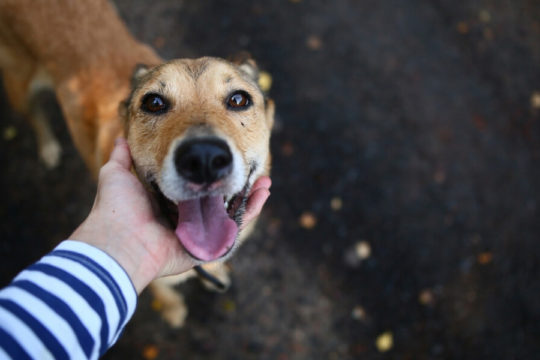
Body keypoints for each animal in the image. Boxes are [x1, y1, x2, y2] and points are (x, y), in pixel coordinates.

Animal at [1, 0, 274, 326]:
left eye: (238, 99)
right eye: (153, 103)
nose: (204, 159)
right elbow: (163, 293)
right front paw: (173, 310)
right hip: (18, 85)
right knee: (34, 115)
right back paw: (48, 146)